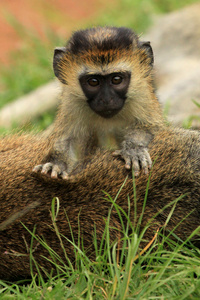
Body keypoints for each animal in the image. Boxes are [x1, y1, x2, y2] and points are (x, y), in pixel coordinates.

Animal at [33, 26, 164, 178]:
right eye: (93, 82)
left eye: (116, 79)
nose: (106, 100)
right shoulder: (71, 101)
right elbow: (69, 140)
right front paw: (58, 164)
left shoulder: (142, 96)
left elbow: (150, 126)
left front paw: (134, 149)